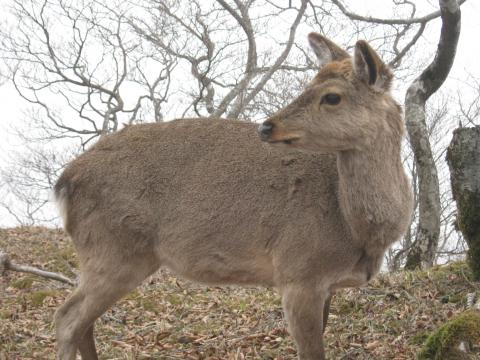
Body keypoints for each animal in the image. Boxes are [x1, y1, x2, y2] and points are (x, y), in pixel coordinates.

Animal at [51, 33, 412, 360]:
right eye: (308, 85)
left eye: (332, 97)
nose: (267, 126)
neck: (357, 230)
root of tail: (63, 182)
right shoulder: (298, 272)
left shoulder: (325, 286)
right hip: (113, 248)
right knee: (67, 319)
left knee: (83, 323)